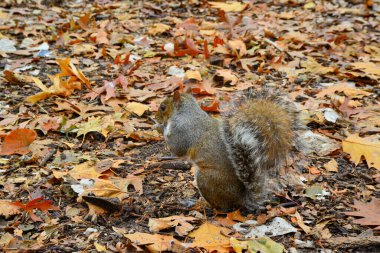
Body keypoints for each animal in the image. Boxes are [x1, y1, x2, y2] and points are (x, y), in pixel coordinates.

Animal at [155, 89, 302, 211]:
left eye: (163, 107)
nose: (156, 117)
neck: (186, 112)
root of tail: (241, 198)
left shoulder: (183, 131)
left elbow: (177, 149)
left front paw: (159, 127)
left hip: (206, 179)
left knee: (219, 206)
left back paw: (198, 204)